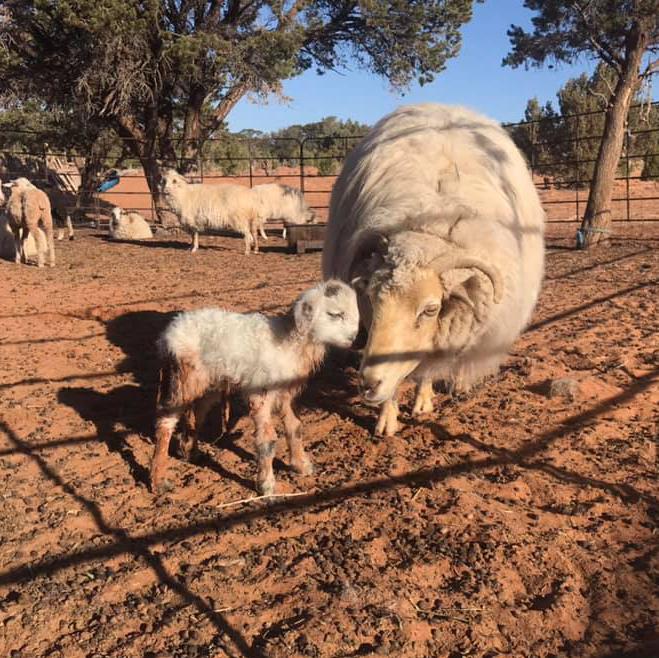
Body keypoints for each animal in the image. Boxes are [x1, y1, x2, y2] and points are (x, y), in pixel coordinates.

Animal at [149, 280, 358, 494]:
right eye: (335, 314)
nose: (355, 338)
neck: (289, 343)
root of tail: (170, 331)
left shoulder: (286, 394)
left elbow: (295, 428)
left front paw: (301, 465)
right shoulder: (260, 393)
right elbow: (267, 440)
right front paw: (266, 484)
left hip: (210, 382)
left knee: (197, 413)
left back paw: (189, 451)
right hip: (185, 376)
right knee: (166, 420)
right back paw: (159, 480)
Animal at [324, 102, 548, 436]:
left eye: (430, 309)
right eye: (372, 300)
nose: (368, 384)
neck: (430, 223)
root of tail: (446, 106)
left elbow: (426, 368)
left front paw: (421, 401)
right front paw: (387, 418)